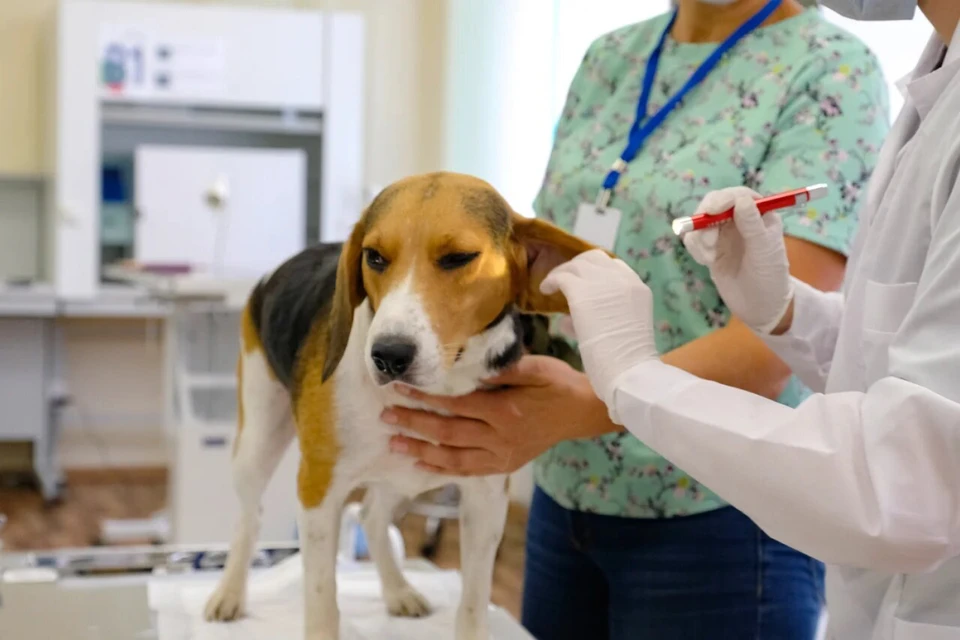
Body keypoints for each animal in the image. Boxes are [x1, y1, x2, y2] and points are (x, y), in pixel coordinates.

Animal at [202, 171, 596, 640]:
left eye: (458, 258)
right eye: (374, 257)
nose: (388, 355)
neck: (438, 387)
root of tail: (278, 270)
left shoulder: (485, 498)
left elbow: (472, 604)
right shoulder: (317, 492)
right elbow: (321, 600)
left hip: (399, 471)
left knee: (372, 516)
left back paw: (397, 590)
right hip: (257, 440)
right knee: (251, 517)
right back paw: (229, 593)